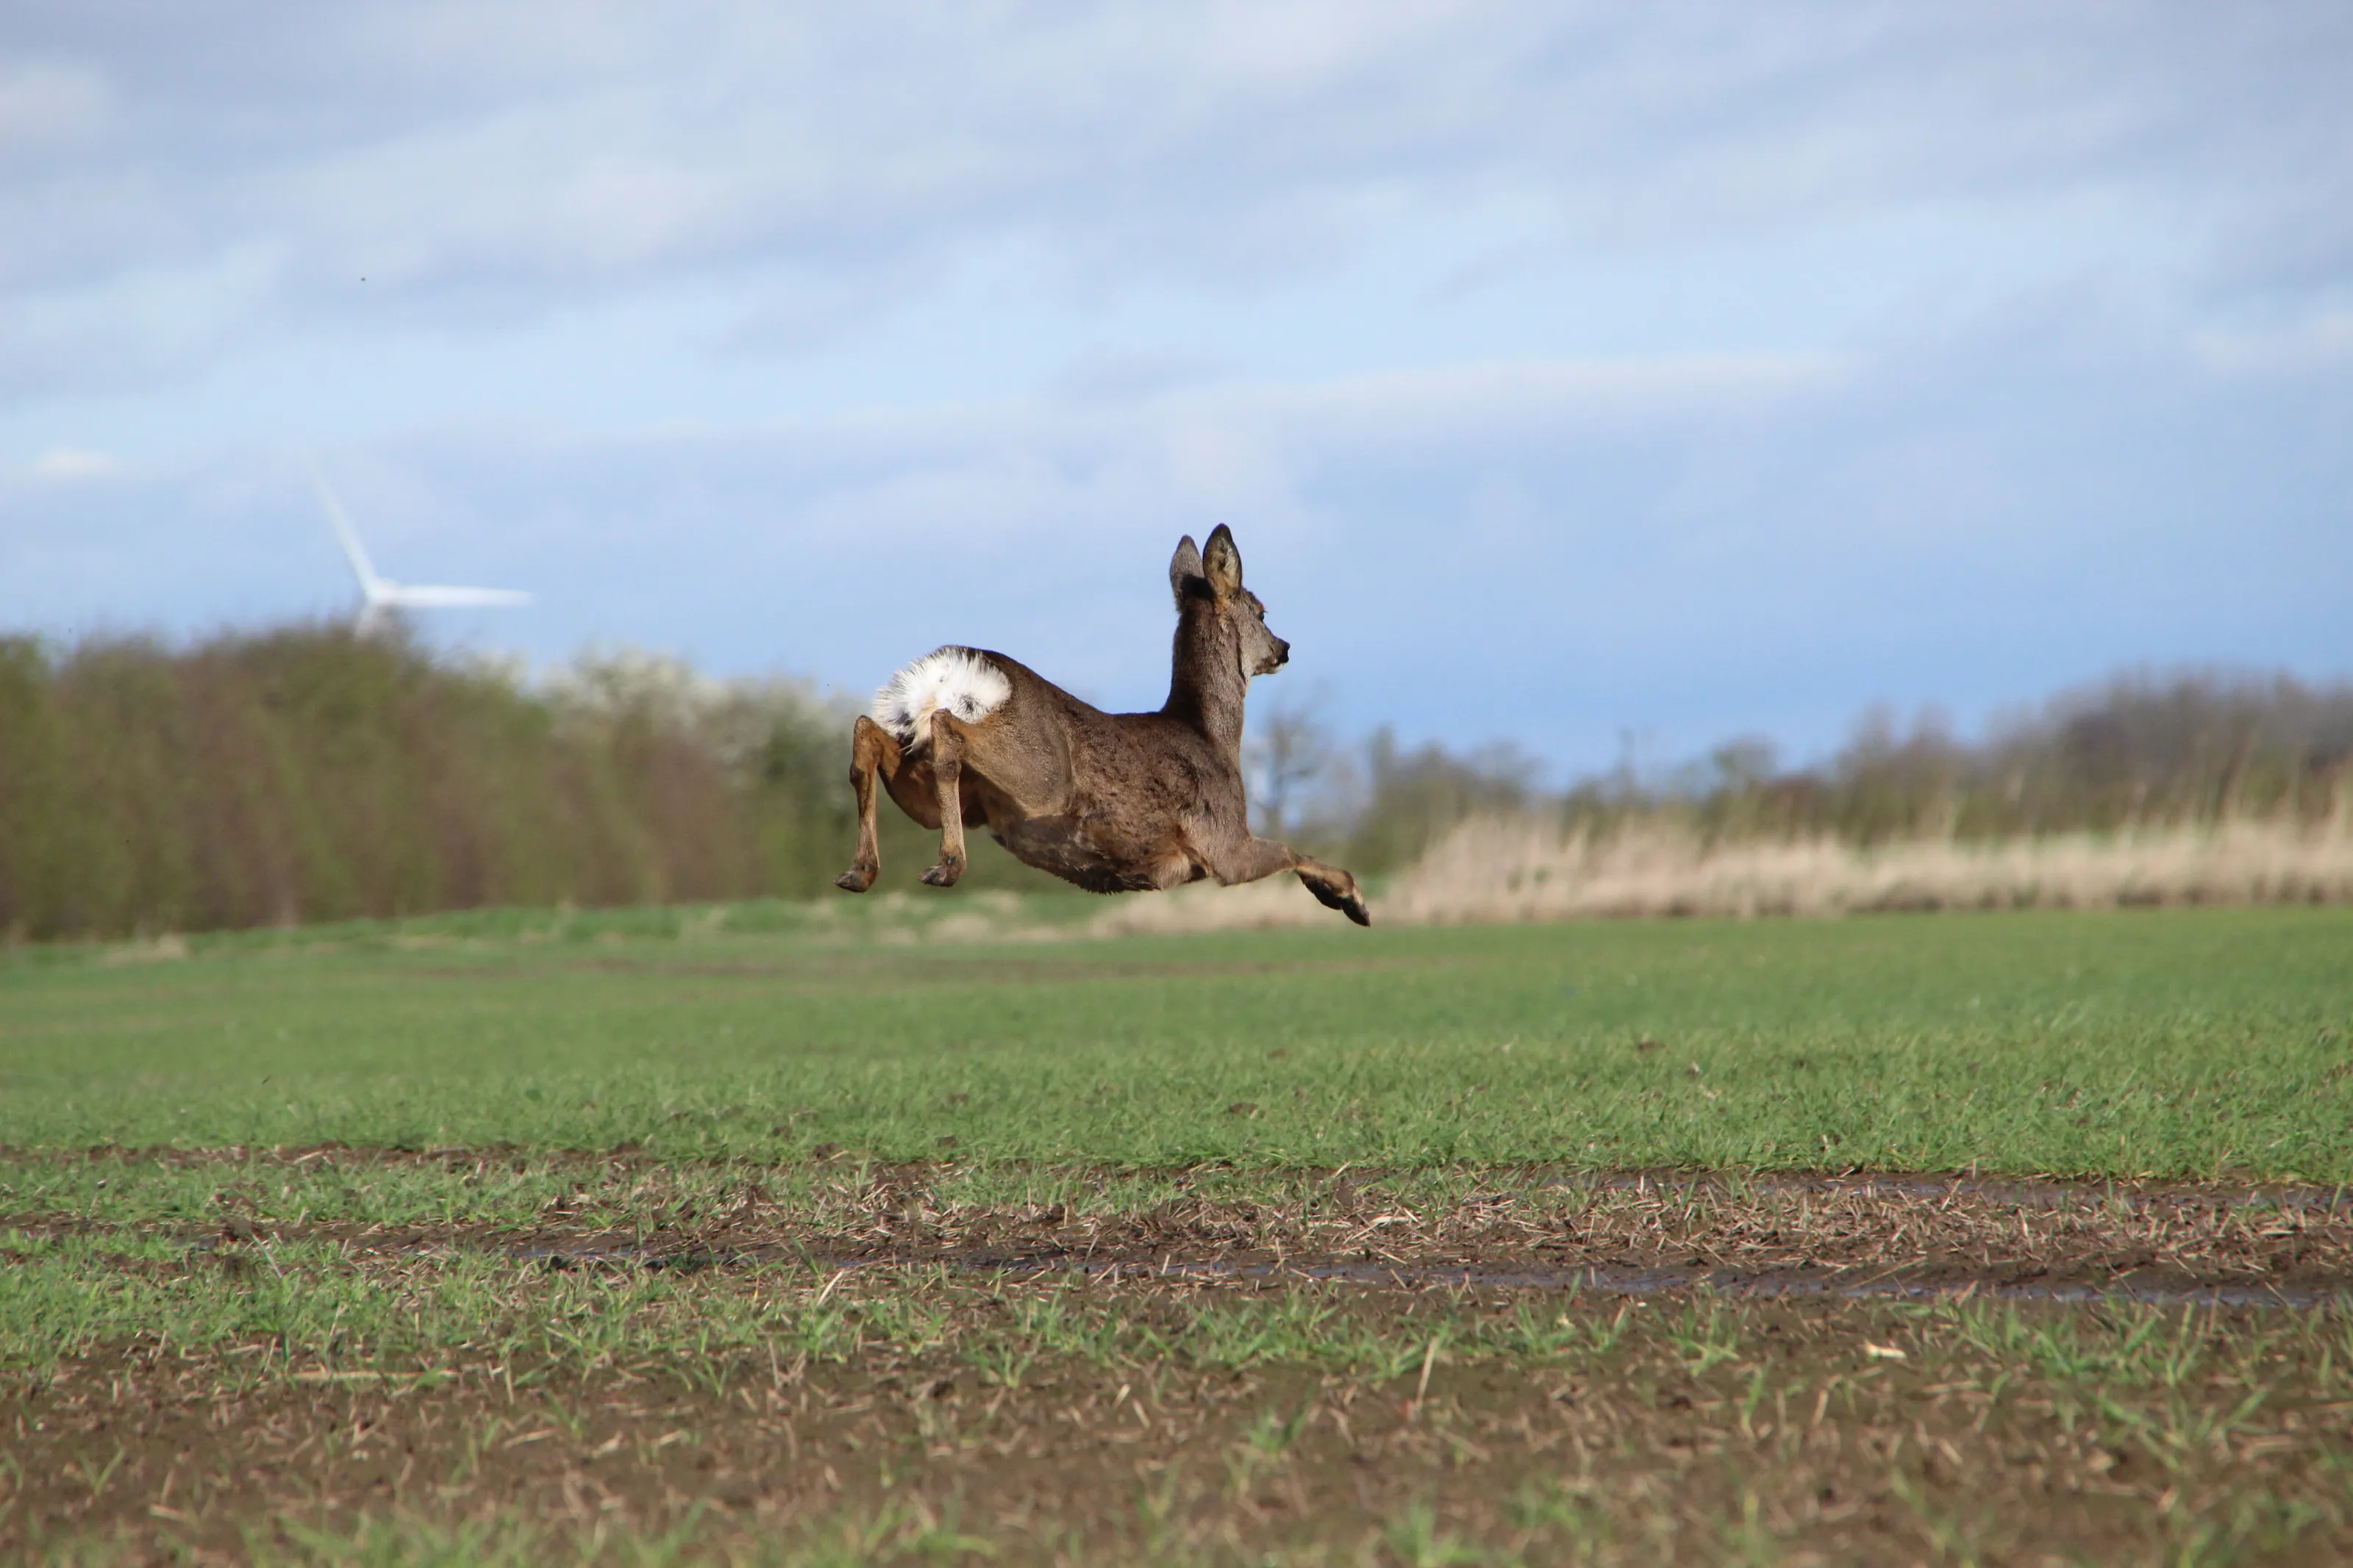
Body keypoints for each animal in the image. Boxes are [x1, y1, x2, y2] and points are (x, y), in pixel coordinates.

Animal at [833, 525, 1371, 925]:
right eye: (1261, 611)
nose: (1284, 647)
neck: (1214, 740)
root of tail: (948, 672)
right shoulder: (1222, 842)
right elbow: (1290, 849)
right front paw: (1351, 900)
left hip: (954, 791)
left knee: (869, 733)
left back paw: (859, 872)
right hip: (1042, 774)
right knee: (947, 729)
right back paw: (946, 866)